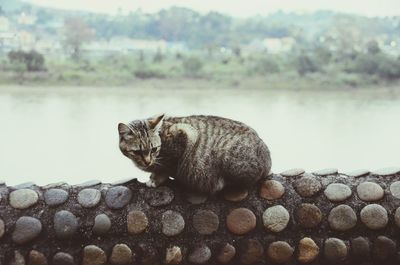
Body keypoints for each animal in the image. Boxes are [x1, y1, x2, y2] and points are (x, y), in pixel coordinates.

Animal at [117, 114, 270, 193]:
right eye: (137, 151)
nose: (147, 161)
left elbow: (167, 167)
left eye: (153, 149)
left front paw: (155, 179)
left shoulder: (186, 134)